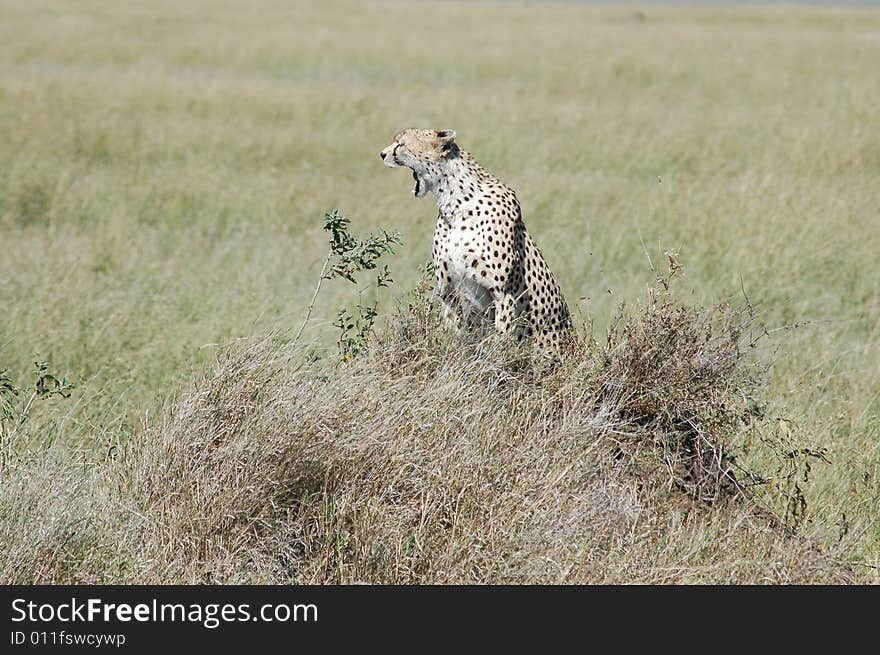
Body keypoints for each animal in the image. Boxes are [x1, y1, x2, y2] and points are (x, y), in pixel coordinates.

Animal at [382, 129, 576, 354]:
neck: (455, 203)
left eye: (401, 144)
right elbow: (453, 334)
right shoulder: (448, 292)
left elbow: (500, 341)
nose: (382, 154)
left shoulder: (504, 294)